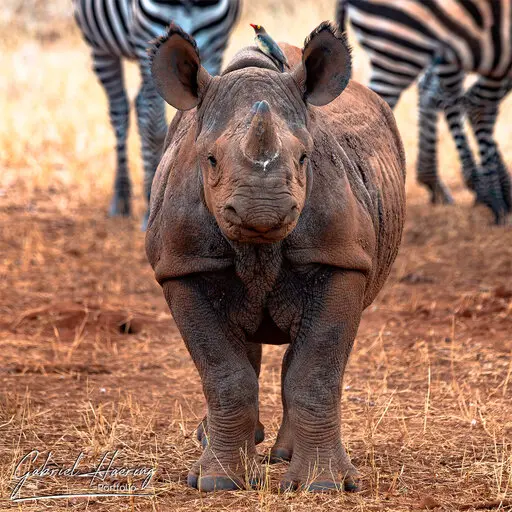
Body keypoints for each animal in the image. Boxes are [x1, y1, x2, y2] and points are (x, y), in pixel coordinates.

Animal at [73, 0, 243, 228]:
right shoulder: (148, 37)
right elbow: (155, 129)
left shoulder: (215, 43)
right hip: (100, 46)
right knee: (121, 111)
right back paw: (122, 197)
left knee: (139, 105)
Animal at [146, 22, 406, 494]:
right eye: (210, 159)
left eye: (304, 157)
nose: (262, 212)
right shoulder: (182, 266)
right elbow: (223, 372)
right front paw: (217, 482)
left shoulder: (340, 259)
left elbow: (315, 372)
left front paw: (324, 485)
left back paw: (281, 455)